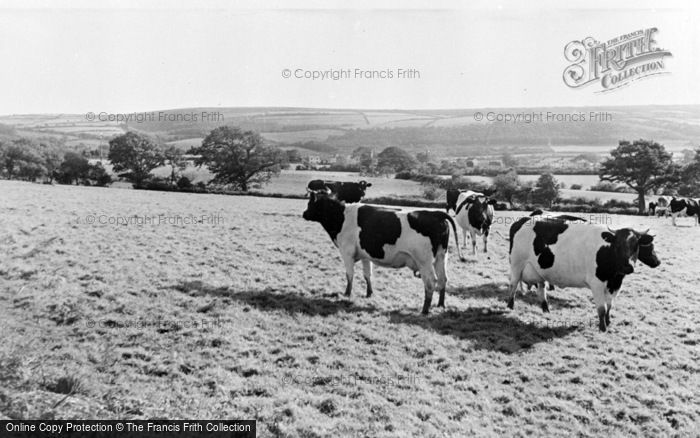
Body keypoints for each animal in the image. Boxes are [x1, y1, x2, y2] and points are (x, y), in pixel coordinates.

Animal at [302, 190, 462, 314]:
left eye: (310, 203)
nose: (304, 214)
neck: (342, 216)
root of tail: (436, 214)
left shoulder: (346, 252)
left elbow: (349, 275)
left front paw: (346, 294)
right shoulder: (365, 255)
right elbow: (367, 275)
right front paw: (369, 293)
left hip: (424, 262)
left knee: (430, 282)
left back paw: (425, 310)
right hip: (441, 257)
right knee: (443, 279)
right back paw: (440, 304)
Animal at [506, 219, 660, 332]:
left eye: (636, 246)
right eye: (618, 245)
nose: (627, 266)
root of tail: (524, 220)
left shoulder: (615, 285)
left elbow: (610, 305)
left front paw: (608, 322)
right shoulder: (597, 284)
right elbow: (602, 309)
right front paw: (602, 328)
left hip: (539, 270)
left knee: (541, 288)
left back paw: (546, 309)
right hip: (517, 264)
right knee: (513, 284)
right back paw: (510, 306)